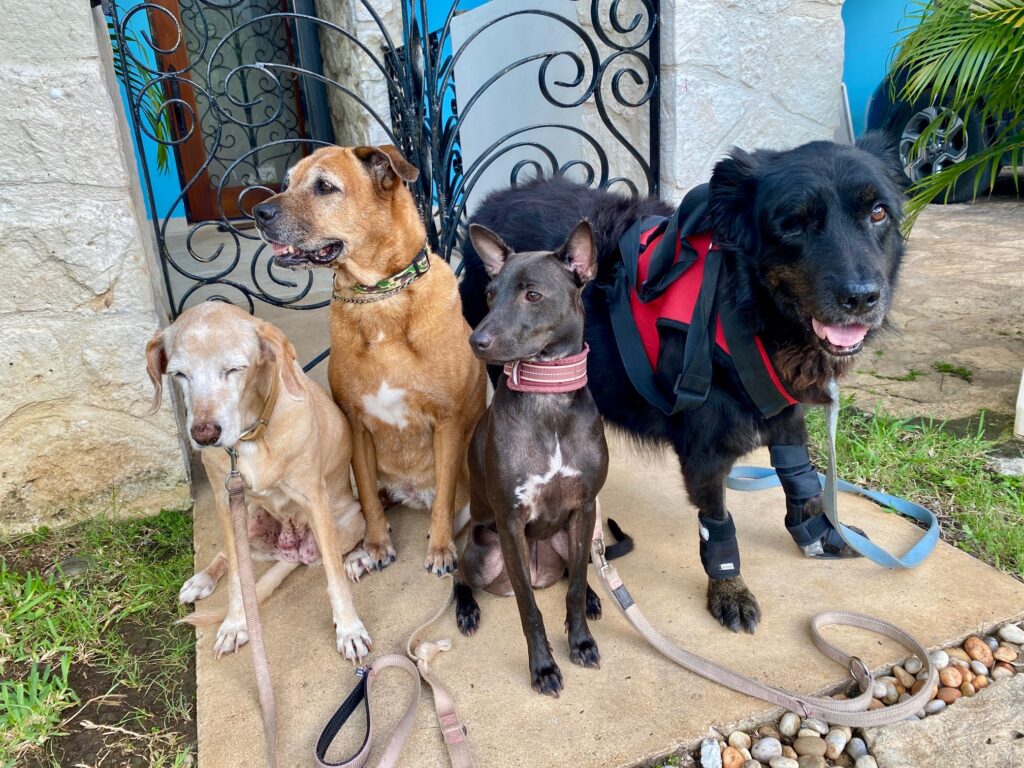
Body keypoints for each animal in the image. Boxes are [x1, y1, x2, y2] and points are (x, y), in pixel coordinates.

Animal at [146, 303, 374, 663]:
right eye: (180, 374)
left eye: (234, 369)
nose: (204, 435)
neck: (251, 435)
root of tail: (290, 554)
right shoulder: (226, 501)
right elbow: (238, 579)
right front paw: (235, 623)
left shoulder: (314, 498)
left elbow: (335, 579)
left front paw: (349, 630)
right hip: (246, 517)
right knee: (228, 556)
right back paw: (202, 579)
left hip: (348, 523)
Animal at [249, 144, 485, 577]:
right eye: (287, 183)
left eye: (325, 187)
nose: (259, 212)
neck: (379, 297)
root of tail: (411, 494)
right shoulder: (356, 424)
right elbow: (370, 504)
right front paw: (376, 546)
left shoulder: (448, 423)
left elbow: (445, 501)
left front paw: (441, 549)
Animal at [454, 221, 606, 696]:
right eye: (489, 294)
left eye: (533, 295)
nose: (476, 341)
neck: (547, 394)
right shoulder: (510, 522)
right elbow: (527, 607)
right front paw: (542, 667)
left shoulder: (585, 507)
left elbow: (573, 590)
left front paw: (581, 640)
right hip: (483, 552)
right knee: (459, 575)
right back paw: (465, 608)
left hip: (571, 537)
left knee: (576, 573)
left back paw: (594, 596)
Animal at [460, 138, 909, 638]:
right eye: (793, 224)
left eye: (878, 213)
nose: (863, 298)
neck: (742, 311)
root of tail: (492, 201)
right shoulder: (704, 449)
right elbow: (718, 523)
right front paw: (729, 591)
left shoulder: (784, 413)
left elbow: (803, 482)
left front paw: (821, 533)